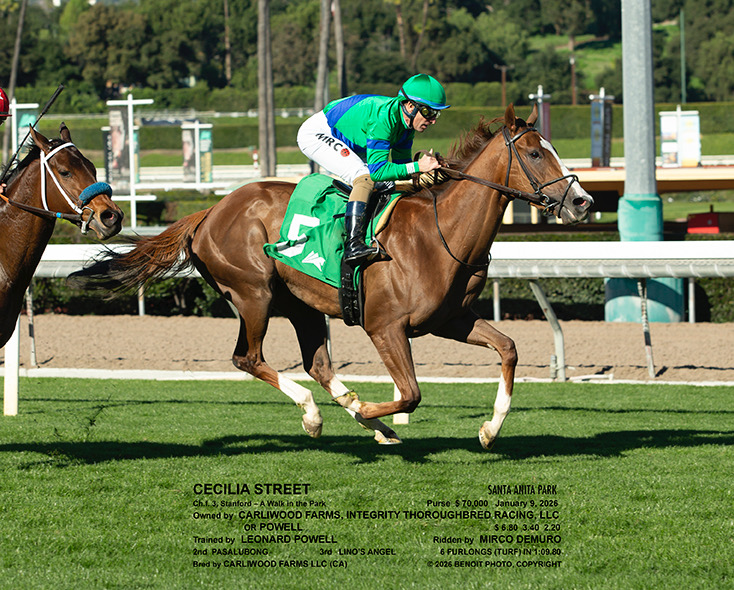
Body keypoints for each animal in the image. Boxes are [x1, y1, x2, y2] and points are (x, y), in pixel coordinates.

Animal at [69, 104, 593, 449]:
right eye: (535, 153)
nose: (582, 201)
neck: (439, 232)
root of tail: (209, 211)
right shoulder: (386, 327)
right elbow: (411, 394)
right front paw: (368, 412)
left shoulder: (450, 320)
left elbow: (509, 348)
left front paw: (488, 429)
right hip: (254, 293)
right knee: (248, 358)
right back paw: (318, 415)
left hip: (300, 304)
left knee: (317, 364)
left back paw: (363, 421)